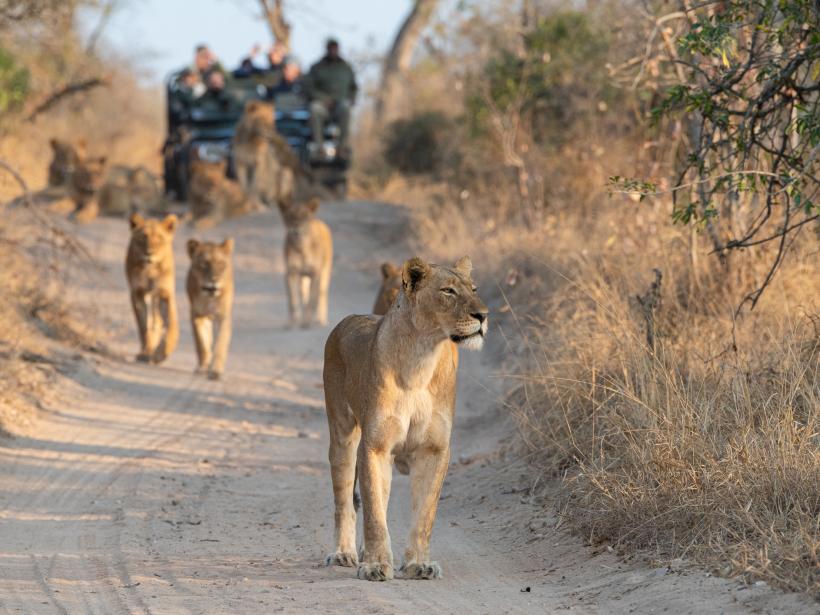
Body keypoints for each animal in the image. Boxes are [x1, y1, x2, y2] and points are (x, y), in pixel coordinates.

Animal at [125, 214, 179, 364]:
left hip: (156, 297)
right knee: (152, 322)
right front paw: (146, 353)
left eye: (159, 238)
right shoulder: (137, 293)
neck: (150, 269)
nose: (149, 253)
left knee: (159, 321)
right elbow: (143, 326)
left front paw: (161, 353)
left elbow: (169, 324)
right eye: (143, 237)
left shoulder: (165, 293)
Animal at [186, 239, 234, 380]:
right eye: (204, 264)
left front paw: (216, 371)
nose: (214, 280)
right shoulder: (196, 315)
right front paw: (202, 367)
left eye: (221, 264)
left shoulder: (223, 317)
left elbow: (220, 344)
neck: (209, 297)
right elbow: (201, 343)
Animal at [282, 200, 334, 330]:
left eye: (304, 216)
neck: (301, 248)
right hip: (303, 277)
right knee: (303, 294)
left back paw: (320, 320)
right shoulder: (291, 273)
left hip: (324, 272)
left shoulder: (315, 273)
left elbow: (311, 301)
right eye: (290, 216)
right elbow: (293, 301)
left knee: (321, 294)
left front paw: (307, 322)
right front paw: (292, 322)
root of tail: (318, 221)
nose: (295, 227)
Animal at [320, 256, 486, 584]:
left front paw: (418, 565)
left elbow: (424, 514)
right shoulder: (374, 447)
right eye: (448, 291)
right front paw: (374, 566)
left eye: (473, 289)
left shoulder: (434, 450)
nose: (483, 315)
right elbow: (373, 514)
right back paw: (345, 553)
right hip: (343, 435)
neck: (421, 358)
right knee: (345, 501)